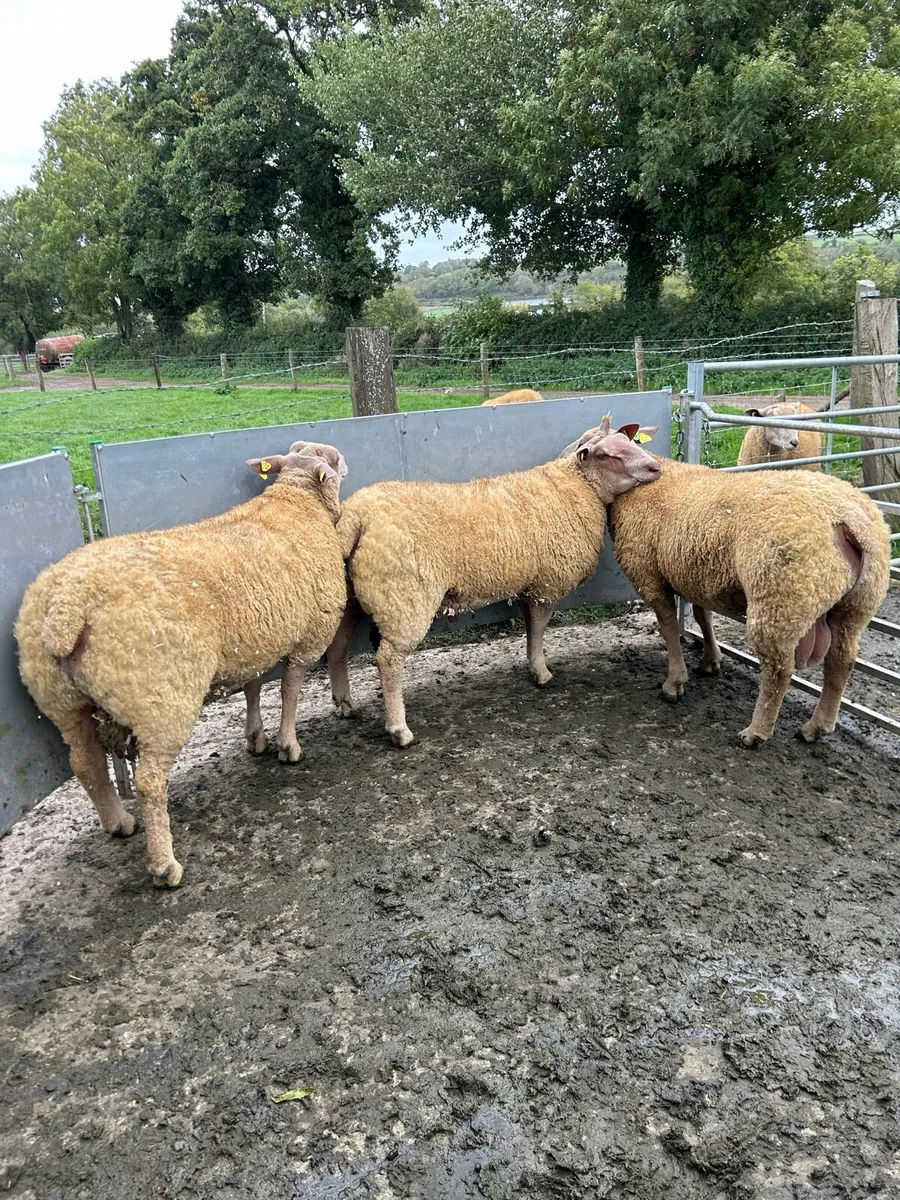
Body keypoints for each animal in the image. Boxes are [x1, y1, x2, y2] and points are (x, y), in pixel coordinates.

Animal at [15, 443, 348, 888]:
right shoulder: (310, 632)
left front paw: (256, 737)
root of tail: (69, 604)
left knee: (85, 763)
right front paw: (288, 745)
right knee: (149, 783)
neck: (296, 503)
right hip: (159, 698)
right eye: (336, 460)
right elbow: (290, 690)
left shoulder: (254, 638)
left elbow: (254, 687)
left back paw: (118, 823)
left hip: (61, 697)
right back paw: (164, 865)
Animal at [324, 418, 661, 747]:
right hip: (402, 598)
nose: (656, 468)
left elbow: (530, 629)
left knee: (337, 646)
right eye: (605, 455)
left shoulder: (528, 587)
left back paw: (345, 704)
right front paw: (542, 672)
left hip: (352, 596)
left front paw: (532, 664)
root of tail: (357, 517)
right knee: (388, 659)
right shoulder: (547, 585)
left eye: (631, 442)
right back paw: (399, 730)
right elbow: (540, 629)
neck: (576, 486)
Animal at [565, 427, 891, 748]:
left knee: (779, 670)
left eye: (601, 452)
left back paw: (756, 731)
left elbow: (669, 627)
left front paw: (675, 682)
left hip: (781, 599)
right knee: (841, 662)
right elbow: (703, 617)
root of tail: (849, 517)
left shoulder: (649, 575)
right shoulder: (698, 574)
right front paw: (711, 660)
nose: (653, 469)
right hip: (856, 604)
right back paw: (817, 727)